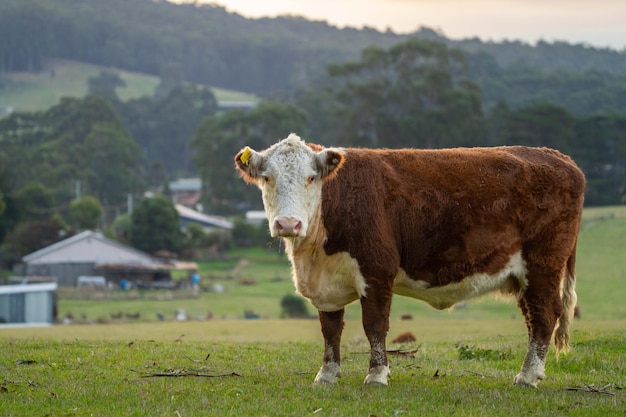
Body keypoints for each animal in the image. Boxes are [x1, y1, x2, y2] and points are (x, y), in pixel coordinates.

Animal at [232, 133, 584, 386]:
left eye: (311, 178)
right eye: (267, 178)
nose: (288, 224)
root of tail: (557, 156)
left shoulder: (377, 270)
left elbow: (374, 325)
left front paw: (376, 375)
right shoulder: (325, 285)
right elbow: (330, 328)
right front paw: (327, 375)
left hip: (543, 265)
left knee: (544, 316)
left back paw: (527, 376)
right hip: (524, 274)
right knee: (534, 317)